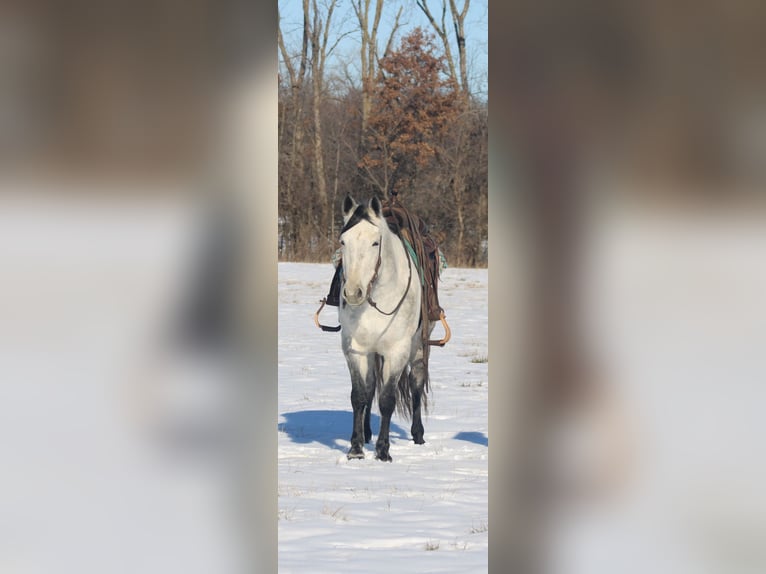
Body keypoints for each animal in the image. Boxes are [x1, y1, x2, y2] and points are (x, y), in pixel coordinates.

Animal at [340, 195, 436, 464]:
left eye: (375, 242)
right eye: (343, 241)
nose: (353, 293)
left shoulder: (397, 352)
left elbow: (387, 400)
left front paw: (383, 451)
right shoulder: (355, 350)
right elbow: (359, 396)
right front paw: (356, 448)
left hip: (418, 348)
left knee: (416, 384)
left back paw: (418, 435)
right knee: (371, 386)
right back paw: (367, 433)